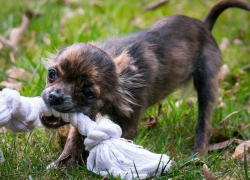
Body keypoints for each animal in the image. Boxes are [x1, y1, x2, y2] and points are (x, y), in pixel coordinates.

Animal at [40, 0, 249, 169]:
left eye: (88, 92)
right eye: (52, 74)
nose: (54, 97)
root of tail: (205, 25)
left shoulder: (128, 124)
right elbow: (73, 141)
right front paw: (62, 166)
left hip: (207, 84)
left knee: (204, 123)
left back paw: (197, 155)